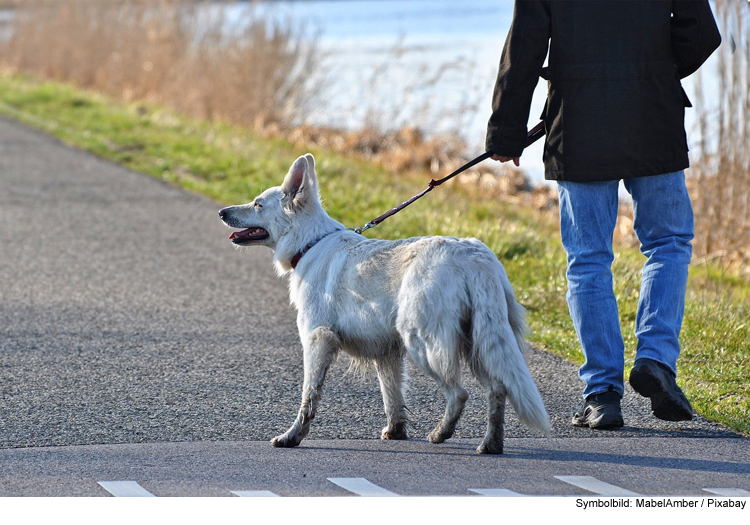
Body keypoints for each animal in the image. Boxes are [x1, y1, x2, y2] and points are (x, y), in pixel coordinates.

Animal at [220, 155, 548, 450]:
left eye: (257, 204)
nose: (222, 211)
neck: (310, 243)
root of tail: (475, 256)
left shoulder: (317, 340)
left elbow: (308, 397)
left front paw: (292, 437)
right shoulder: (386, 352)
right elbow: (392, 397)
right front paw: (396, 431)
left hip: (423, 343)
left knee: (459, 393)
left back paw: (441, 433)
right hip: (479, 342)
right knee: (498, 388)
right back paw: (491, 443)